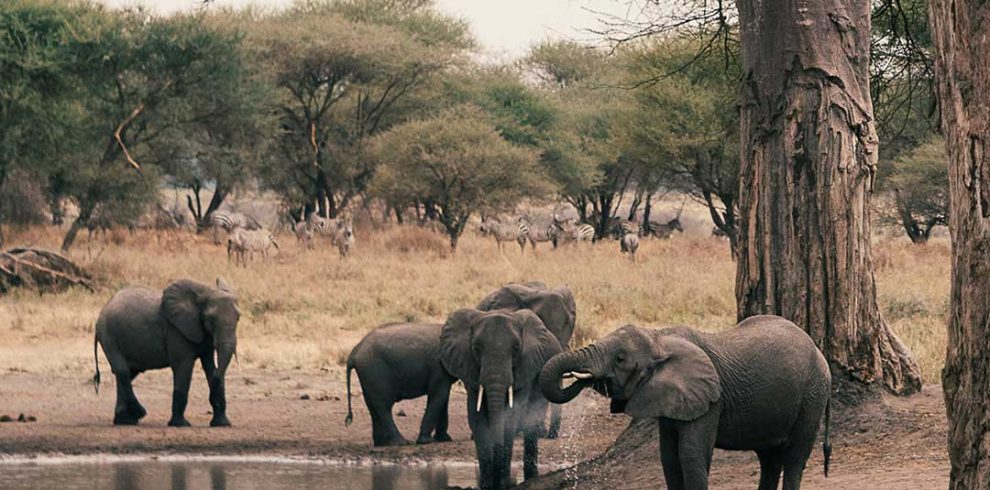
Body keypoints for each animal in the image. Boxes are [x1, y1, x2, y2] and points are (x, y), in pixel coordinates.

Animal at [93, 278, 240, 426]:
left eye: (238, 317)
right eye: (211, 319)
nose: (211, 397)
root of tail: (101, 313)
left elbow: (210, 367)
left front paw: (223, 424)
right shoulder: (175, 330)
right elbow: (183, 367)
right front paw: (180, 425)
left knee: (127, 373)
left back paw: (125, 421)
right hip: (109, 336)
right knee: (122, 371)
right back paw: (138, 414)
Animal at [442, 308, 564, 488]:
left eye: (516, 348)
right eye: (476, 349)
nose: (497, 480)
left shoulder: (524, 368)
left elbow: (511, 417)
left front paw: (504, 484)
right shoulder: (470, 370)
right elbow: (476, 418)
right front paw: (487, 485)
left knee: (532, 421)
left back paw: (531, 476)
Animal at [540, 314, 832, 490]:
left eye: (620, 359)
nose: (580, 376)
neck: (658, 336)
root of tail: (820, 351)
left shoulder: (710, 400)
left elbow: (690, 455)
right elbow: (669, 458)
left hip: (813, 393)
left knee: (794, 457)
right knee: (769, 460)